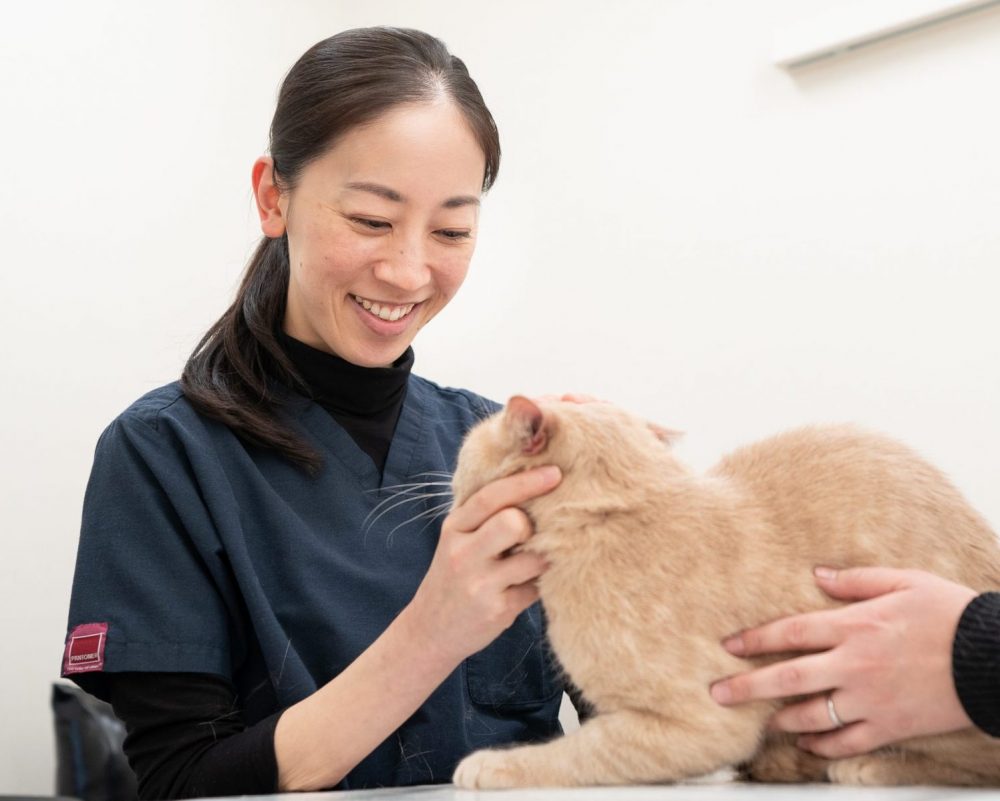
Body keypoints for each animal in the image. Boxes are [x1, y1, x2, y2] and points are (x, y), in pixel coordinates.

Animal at [452, 396, 1000, 784]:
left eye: (464, 455)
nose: (450, 486)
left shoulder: (699, 724)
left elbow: (582, 751)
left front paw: (494, 765)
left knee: (976, 762)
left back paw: (868, 765)